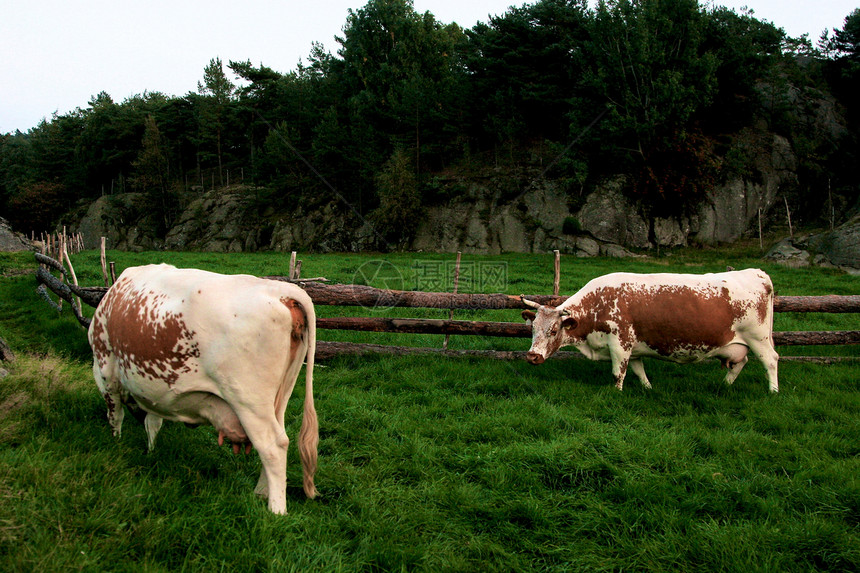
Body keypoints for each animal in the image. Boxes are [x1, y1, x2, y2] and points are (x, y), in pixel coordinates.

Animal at [87, 264, 320, 512]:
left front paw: (117, 444)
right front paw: (150, 452)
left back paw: (276, 510)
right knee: (281, 437)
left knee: (273, 446)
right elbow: (153, 422)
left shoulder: (105, 370)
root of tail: (280, 290)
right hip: (280, 396)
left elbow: (115, 415)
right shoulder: (152, 390)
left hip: (249, 401)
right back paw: (261, 492)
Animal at [524, 268, 780, 394]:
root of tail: (757, 272)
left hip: (758, 338)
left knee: (770, 360)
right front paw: (648, 388)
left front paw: (616, 393)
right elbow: (639, 370)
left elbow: (619, 373)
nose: (532, 356)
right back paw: (724, 386)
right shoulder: (633, 347)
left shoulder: (620, 343)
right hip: (738, 344)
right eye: (533, 329)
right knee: (740, 362)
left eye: (554, 330)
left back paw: (773, 391)